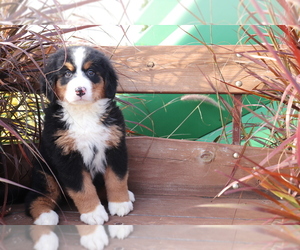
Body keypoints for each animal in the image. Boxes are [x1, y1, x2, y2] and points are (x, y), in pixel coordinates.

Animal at [25, 46, 135, 226]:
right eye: (67, 74)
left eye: (91, 72)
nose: (80, 90)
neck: (84, 113)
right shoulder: (67, 157)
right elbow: (83, 189)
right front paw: (93, 213)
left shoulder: (115, 147)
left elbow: (117, 179)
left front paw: (120, 203)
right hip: (45, 173)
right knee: (37, 197)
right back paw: (45, 215)